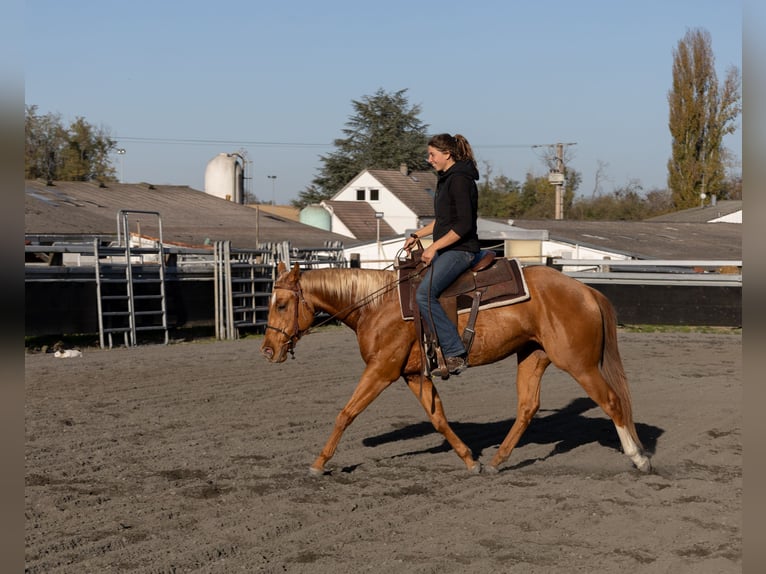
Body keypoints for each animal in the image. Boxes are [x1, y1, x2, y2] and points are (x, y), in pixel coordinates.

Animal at [260, 260, 652, 476]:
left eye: (281, 304)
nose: (267, 350)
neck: (376, 305)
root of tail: (587, 291)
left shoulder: (381, 371)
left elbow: (346, 413)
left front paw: (318, 463)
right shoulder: (411, 375)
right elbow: (439, 419)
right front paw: (469, 460)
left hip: (579, 363)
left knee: (613, 402)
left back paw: (638, 458)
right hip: (533, 356)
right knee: (527, 408)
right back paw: (496, 461)